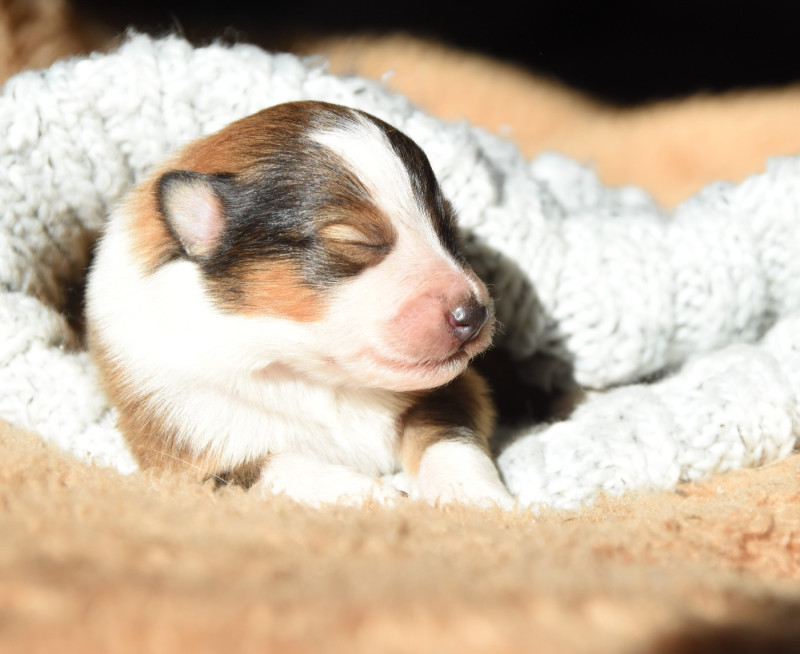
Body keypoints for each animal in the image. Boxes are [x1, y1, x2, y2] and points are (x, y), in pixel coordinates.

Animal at [86, 100, 514, 509]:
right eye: (357, 242)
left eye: (449, 230)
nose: (474, 314)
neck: (311, 375)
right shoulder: (187, 454)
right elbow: (280, 468)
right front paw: (378, 499)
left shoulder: (452, 391)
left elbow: (449, 438)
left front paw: (473, 498)